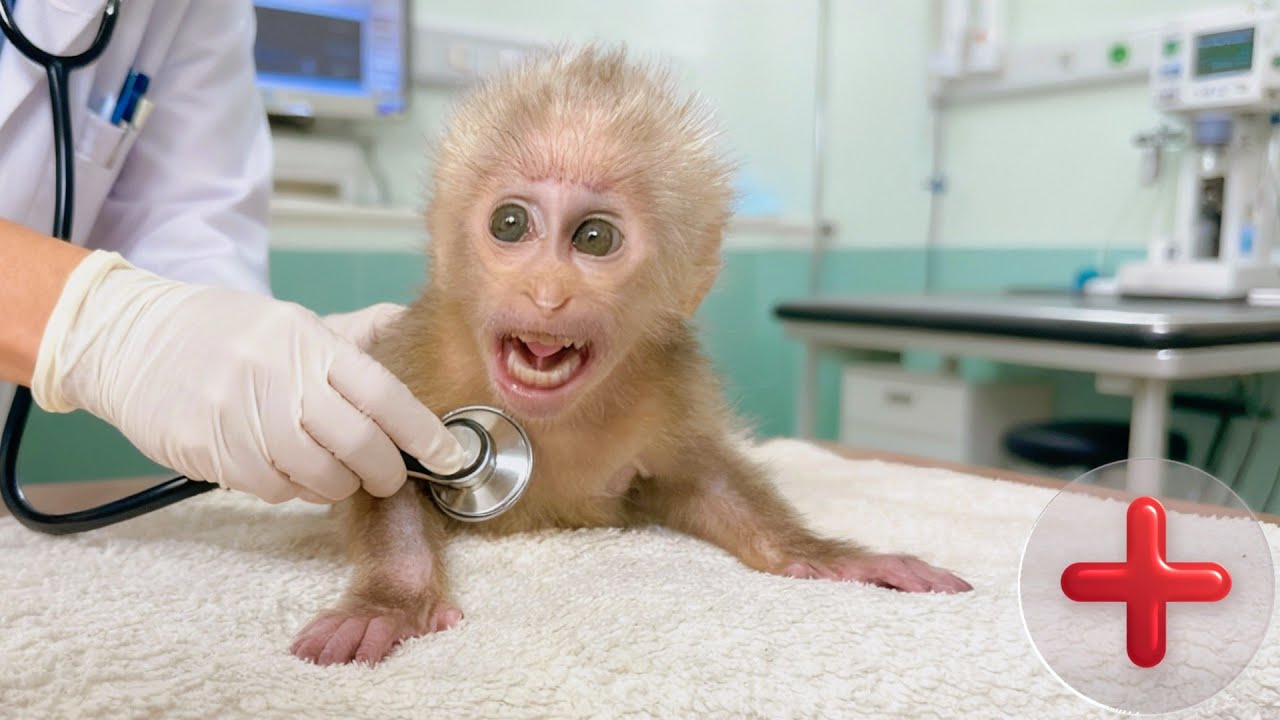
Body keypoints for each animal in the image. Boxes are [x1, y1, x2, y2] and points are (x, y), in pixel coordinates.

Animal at [290, 45, 972, 667]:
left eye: (595, 237)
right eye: (510, 223)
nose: (547, 292)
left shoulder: (671, 379)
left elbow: (702, 480)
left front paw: (823, 554)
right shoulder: (417, 351)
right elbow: (386, 472)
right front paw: (392, 600)